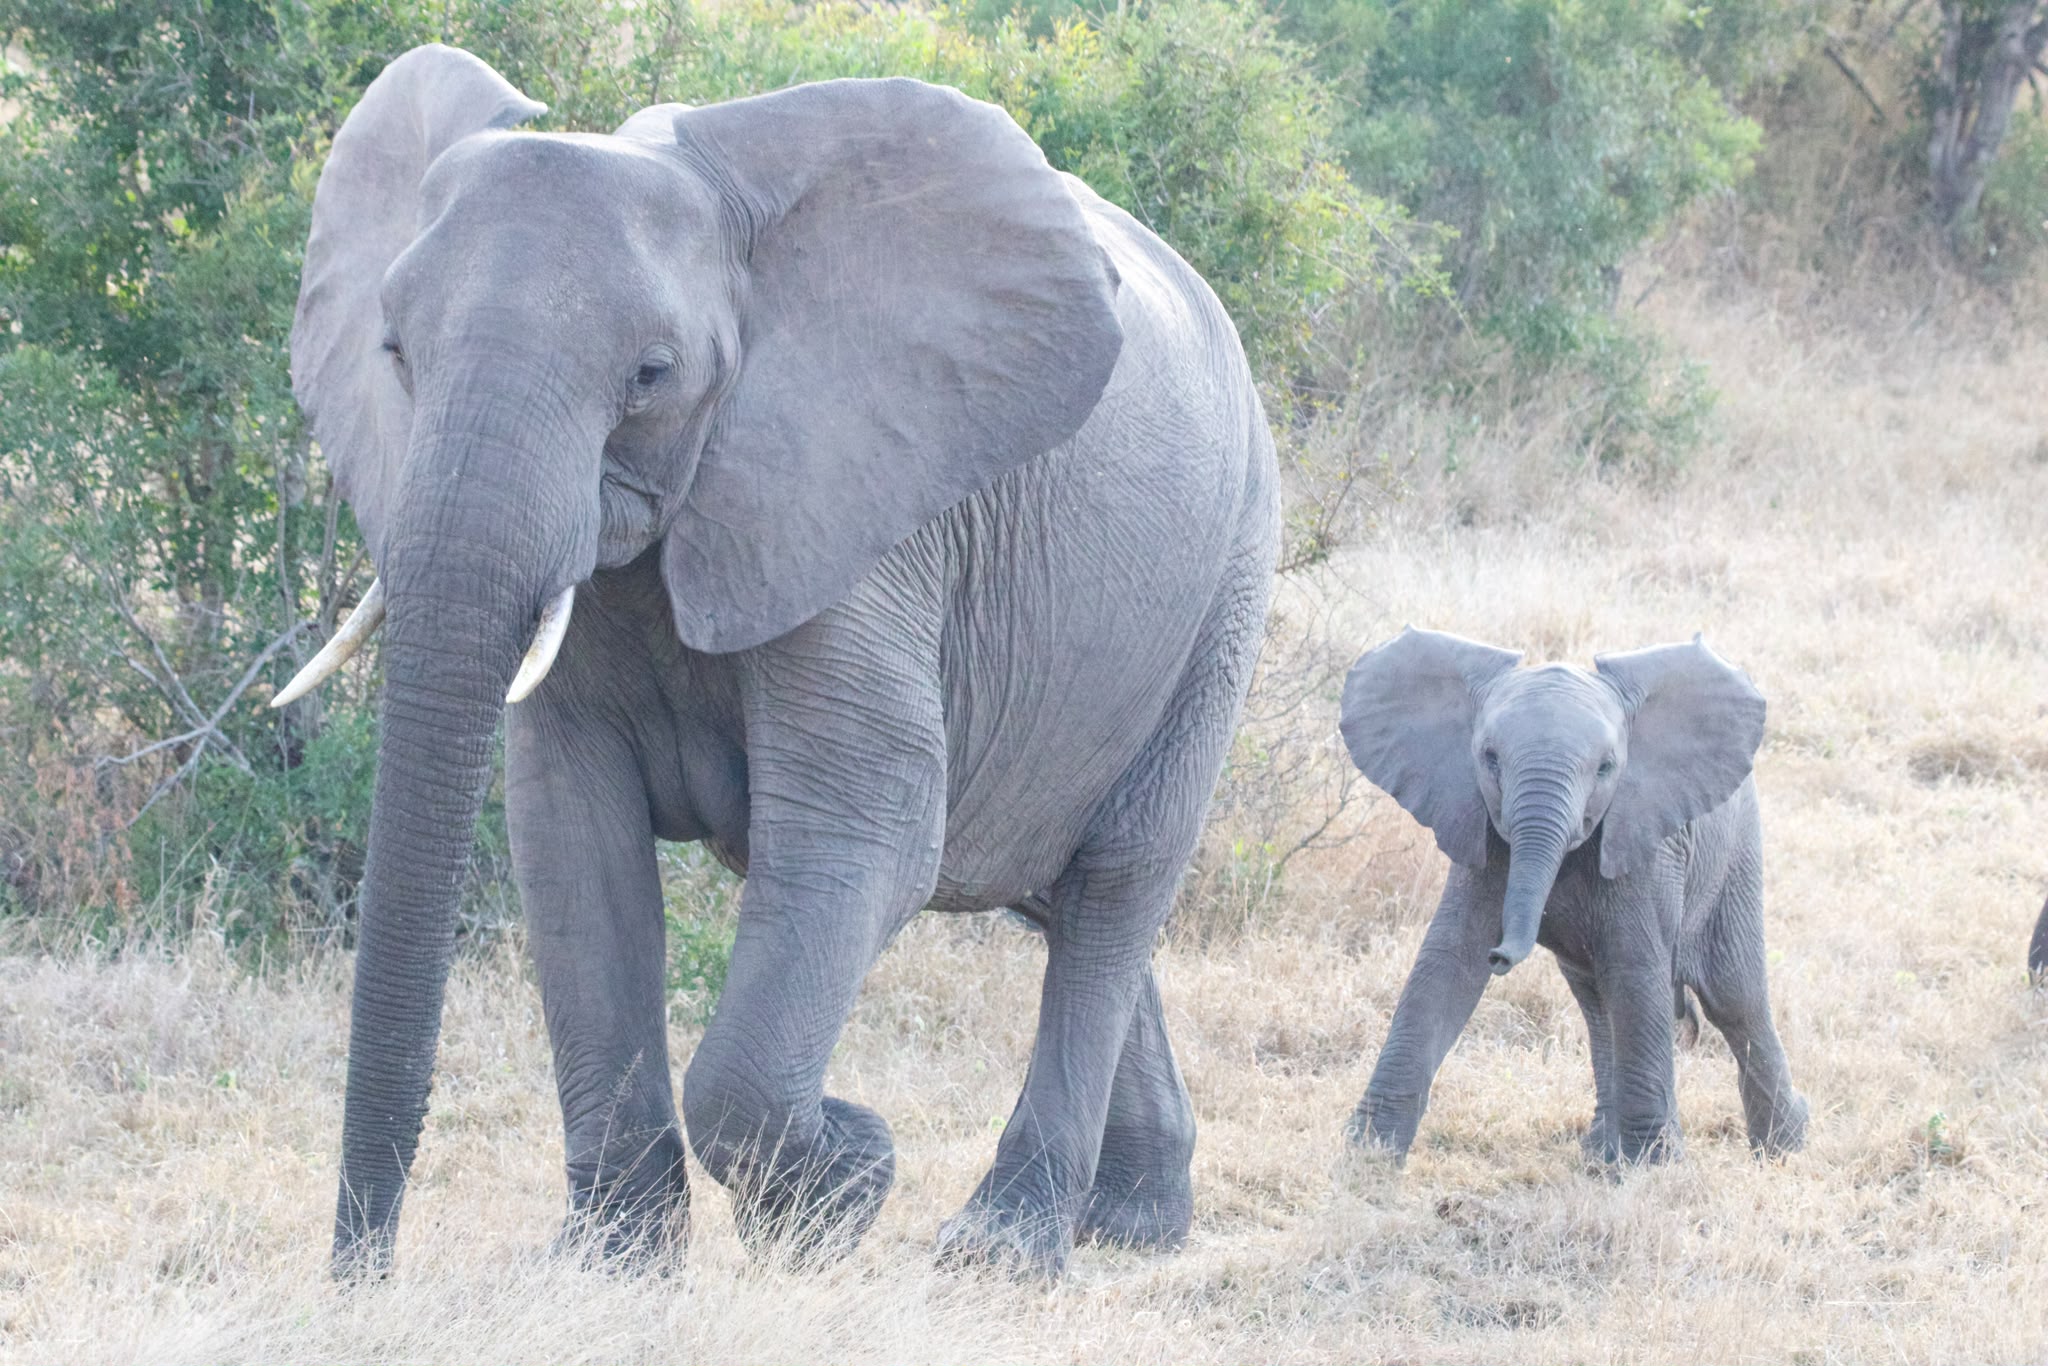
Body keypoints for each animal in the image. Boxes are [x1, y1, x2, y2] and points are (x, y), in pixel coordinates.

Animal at [275, 45, 1278, 1279]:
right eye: (395, 354)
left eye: (652, 373)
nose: (359, 1275)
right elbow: (571, 837)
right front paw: (616, 1266)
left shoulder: (858, 508)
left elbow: (868, 823)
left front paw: (845, 1184)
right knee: (1050, 883)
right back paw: (1133, 1223)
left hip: (1226, 579)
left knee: (1114, 883)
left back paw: (1003, 1246)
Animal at [1337, 628, 1807, 1166]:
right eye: (1489, 758)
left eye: (1605, 768)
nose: (1501, 954)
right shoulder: (1479, 829)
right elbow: (1448, 960)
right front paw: (1367, 1157)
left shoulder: (1643, 843)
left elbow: (1636, 969)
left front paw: (1656, 1170)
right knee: (1597, 1003)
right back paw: (1602, 1156)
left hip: (1736, 857)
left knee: (1735, 999)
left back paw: (1783, 1150)